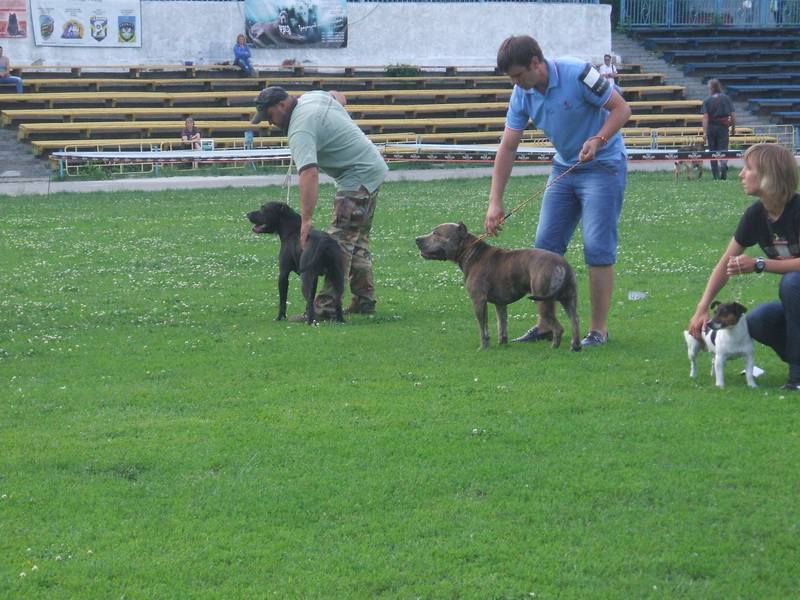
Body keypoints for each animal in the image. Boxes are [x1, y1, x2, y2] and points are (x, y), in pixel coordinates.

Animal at [415, 222, 581, 351]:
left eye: (436, 233)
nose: (417, 239)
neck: (471, 252)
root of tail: (562, 264)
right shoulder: (500, 304)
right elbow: (502, 325)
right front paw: (502, 344)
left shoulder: (479, 301)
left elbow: (483, 328)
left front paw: (484, 347)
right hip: (569, 299)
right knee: (574, 321)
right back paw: (576, 346)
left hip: (543, 301)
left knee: (558, 328)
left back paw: (554, 347)